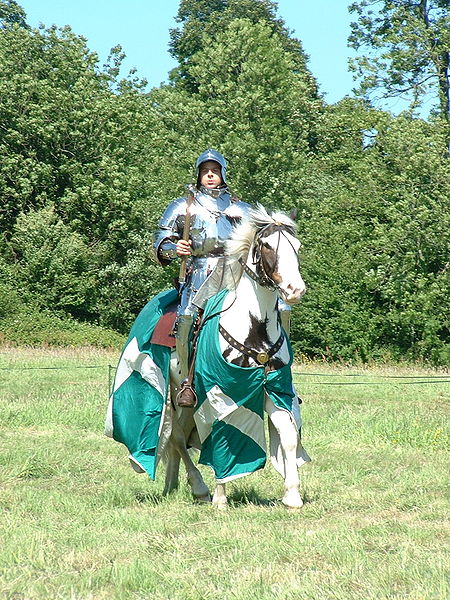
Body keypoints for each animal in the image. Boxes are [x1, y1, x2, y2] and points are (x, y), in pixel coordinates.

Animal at [160, 204, 312, 508]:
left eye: (297, 246)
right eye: (267, 245)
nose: (295, 290)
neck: (254, 326)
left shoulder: (272, 388)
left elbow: (288, 434)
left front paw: (292, 494)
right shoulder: (220, 391)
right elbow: (222, 434)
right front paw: (220, 496)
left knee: (178, 436)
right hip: (177, 394)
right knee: (177, 437)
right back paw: (200, 488)